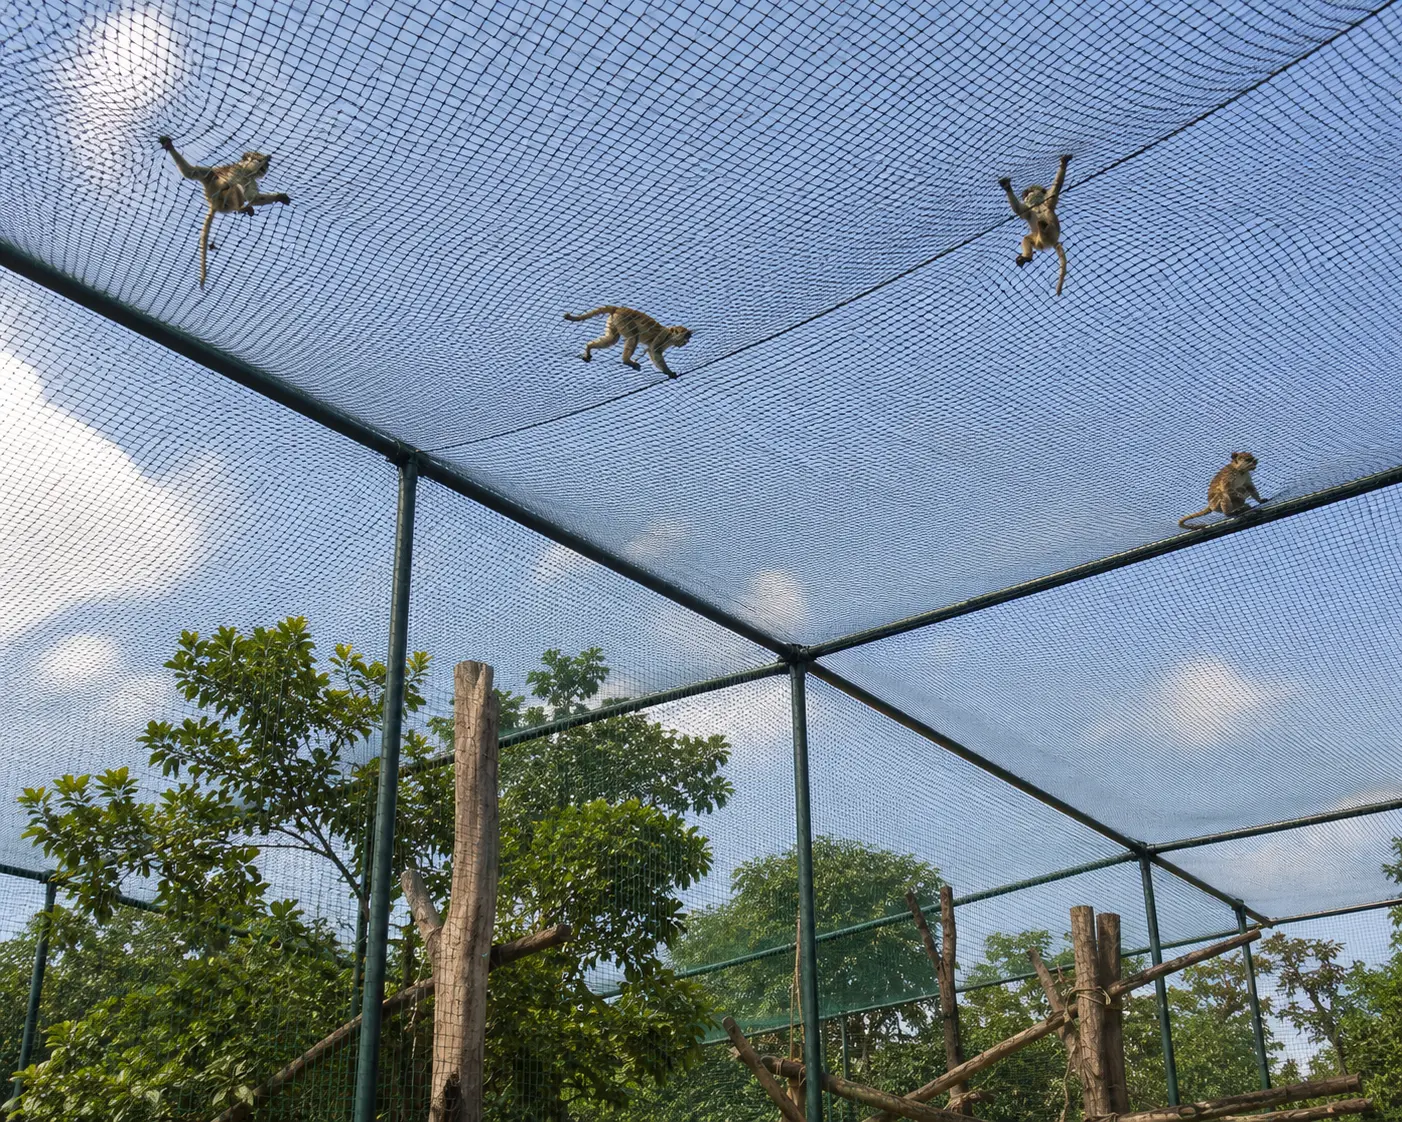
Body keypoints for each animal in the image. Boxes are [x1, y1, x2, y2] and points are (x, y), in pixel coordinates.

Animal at [158, 136, 291, 288]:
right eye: (259, 158)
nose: (266, 165)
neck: (245, 172)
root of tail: (214, 205)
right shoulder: (232, 170)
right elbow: (196, 173)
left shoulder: (249, 179)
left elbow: (254, 197)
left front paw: (279, 197)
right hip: (221, 196)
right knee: (229, 185)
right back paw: (240, 207)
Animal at [563, 306, 693, 379]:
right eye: (686, 336)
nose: (687, 341)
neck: (670, 336)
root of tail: (619, 308)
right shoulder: (663, 336)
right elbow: (654, 351)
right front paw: (668, 371)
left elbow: (651, 350)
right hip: (624, 319)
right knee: (633, 336)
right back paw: (626, 360)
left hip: (614, 320)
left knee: (612, 339)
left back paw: (589, 347)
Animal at [999, 154, 1072, 295]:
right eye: (1025, 195)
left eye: (1029, 192)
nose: (1026, 196)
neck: (1038, 206)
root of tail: (1051, 242)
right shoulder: (1029, 210)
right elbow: (1019, 210)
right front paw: (1007, 187)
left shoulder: (1048, 202)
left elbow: (1056, 188)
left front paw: (1063, 164)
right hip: (1039, 241)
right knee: (1027, 238)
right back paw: (1027, 256)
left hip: (1049, 235)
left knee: (1046, 227)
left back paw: (1043, 226)